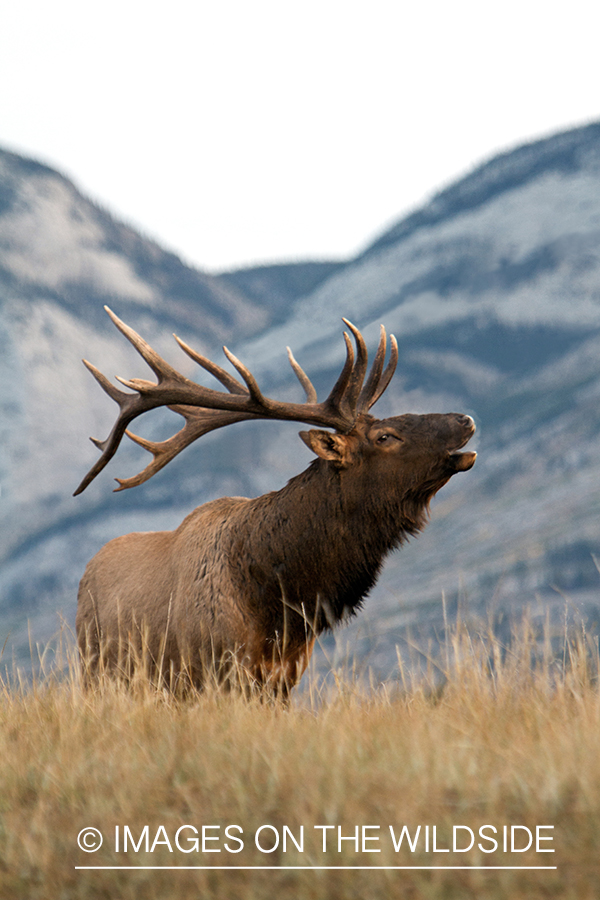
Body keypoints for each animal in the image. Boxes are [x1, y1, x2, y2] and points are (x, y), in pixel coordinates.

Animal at [76, 308, 478, 696]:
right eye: (385, 436)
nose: (466, 419)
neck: (281, 611)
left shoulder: (284, 679)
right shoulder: (215, 672)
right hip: (97, 671)